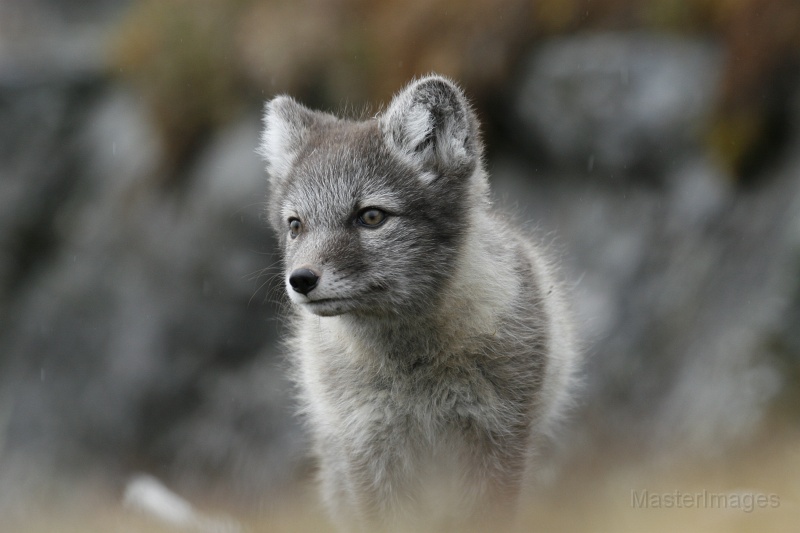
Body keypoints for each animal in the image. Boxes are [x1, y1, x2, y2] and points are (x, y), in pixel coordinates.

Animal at [260, 76, 580, 532]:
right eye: (295, 225)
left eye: (371, 217)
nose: (301, 280)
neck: (413, 370)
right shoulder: (368, 446)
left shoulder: (499, 435)